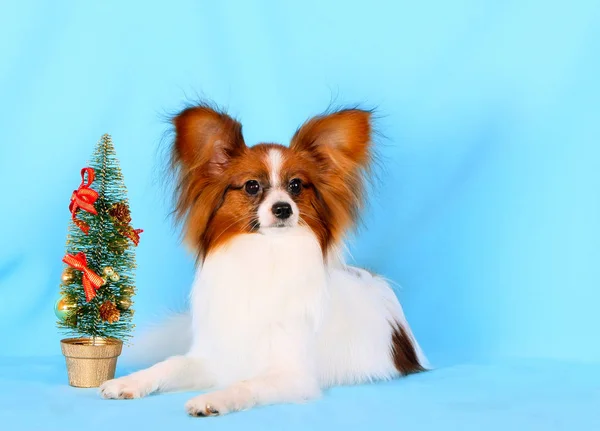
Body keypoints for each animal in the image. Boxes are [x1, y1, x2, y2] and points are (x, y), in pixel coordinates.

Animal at [99, 104, 426, 416]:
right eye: (252, 186)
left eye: (296, 186)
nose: (283, 209)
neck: (267, 251)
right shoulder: (214, 357)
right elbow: (171, 363)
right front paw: (129, 382)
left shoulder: (292, 375)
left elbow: (246, 384)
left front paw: (212, 399)